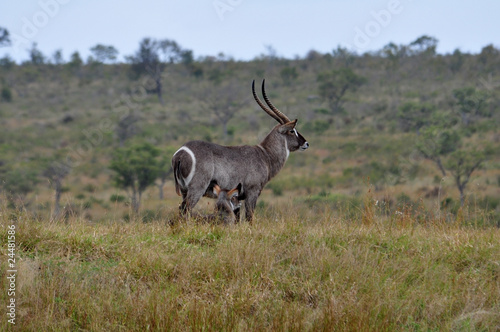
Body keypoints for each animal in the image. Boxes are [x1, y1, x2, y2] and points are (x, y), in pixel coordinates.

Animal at [174, 79, 310, 222]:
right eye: (292, 130)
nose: (306, 143)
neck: (265, 154)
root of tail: (180, 154)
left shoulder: (237, 198)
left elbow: (237, 219)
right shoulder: (252, 192)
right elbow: (249, 217)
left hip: (184, 191)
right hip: (197, 189)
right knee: (185, 209)